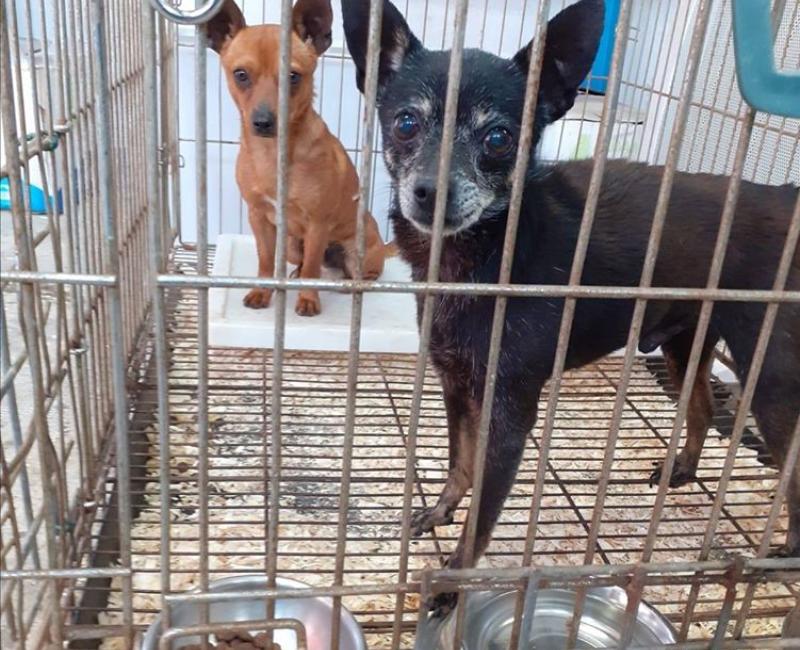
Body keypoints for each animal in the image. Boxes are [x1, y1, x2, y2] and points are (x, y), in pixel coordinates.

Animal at [205, 0, 393, 317]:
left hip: (356, 252)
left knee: (357, 272)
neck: (274, 154)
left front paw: (308, 299)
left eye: (293, 77)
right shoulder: (258, 218)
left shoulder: (317, 224)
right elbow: (266, 261)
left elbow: (312, 268)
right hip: (292, 243)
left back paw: (351, 284)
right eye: (240, 74)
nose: (263, 122)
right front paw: (262, 291)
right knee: (301, 260)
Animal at [342, 0, 800, 614]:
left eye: (498, 137)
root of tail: (784, 195)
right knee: (703, 406)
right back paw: (681, 468)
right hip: (688, 343)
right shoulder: (456, 384)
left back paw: (783, 555)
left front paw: (453, 579)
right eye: (406, 123)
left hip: (769, 375)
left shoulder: (510, 412)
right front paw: (440, 512)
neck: (488, 256)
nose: (432, 193)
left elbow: (483, 513)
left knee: (791, 470)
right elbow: (460, 464)